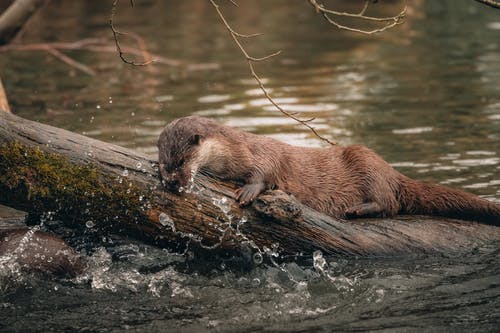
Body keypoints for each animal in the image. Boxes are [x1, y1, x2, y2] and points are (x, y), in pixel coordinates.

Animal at [158, 115, 500, 224]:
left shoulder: (262, 154)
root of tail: (391, 171)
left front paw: (248, 191)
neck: (235, 150)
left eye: (182, 162)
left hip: (366, 163)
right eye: (163, 164)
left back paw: (357, 210)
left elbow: (265, 172)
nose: (172, 182)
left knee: (389, 202)